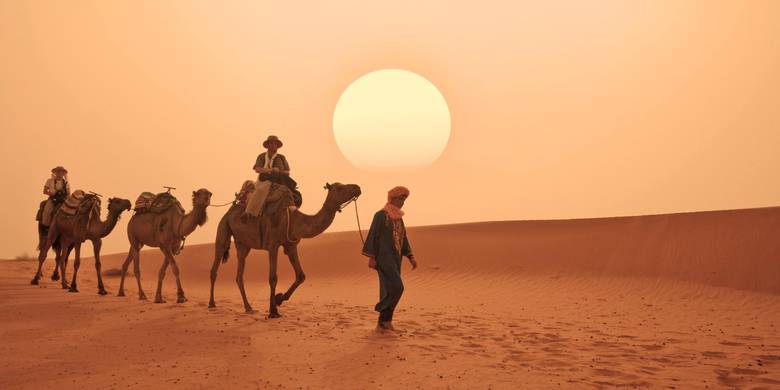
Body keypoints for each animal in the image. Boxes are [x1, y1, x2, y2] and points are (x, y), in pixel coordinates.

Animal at [209, 181, 364, 318]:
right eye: (339, 188)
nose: (357, 187)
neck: (294, 220)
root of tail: (230, 210)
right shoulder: (272, 245)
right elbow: (273, 278)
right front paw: (273, 312)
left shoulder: (291, 246)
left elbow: (301, 275)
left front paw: (279, 299)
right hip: (223, 228)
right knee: (215, 265)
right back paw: (212, 303)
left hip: (243, 244)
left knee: (239, 274)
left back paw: (248, 307)